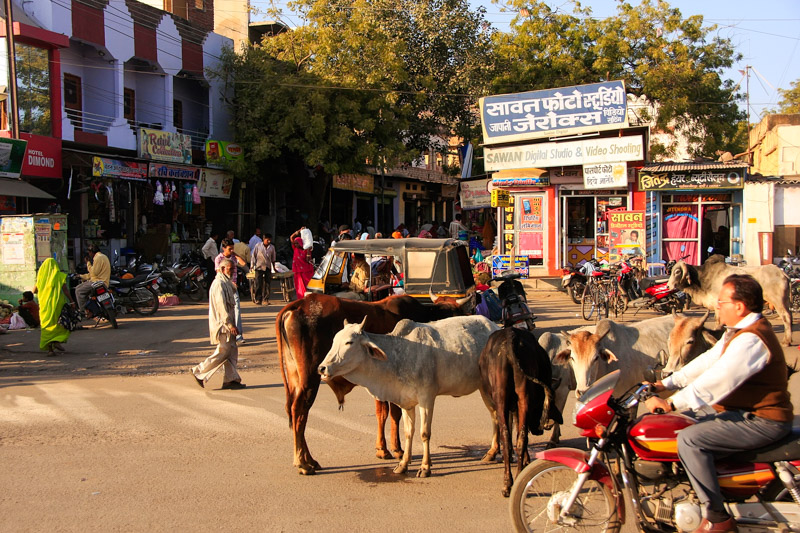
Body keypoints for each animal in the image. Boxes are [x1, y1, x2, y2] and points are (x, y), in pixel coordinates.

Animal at [276, 290, 466, 474]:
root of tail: (297, 305)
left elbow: (383, 413)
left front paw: (384, 448)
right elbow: (394, 414)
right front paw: (396, 450)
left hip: (295, 377)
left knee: (293, 411)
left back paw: (309, 460)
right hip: (309, 380)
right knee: (299, 412)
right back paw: (302, 463)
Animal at [318, 316, 500, 478]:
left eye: (349, 342)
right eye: (334, 341)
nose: (322, 368)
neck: (397, 356)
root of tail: (495, 326)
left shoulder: (427, 398)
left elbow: (424, 433)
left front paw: (425, 467)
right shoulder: (406, 402)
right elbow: (408, 432)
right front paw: (403, 464)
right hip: (483, 389)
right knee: (494, 415)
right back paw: (493, 452)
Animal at [478, 326, 560, 496]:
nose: (540, 430)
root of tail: (512, 339)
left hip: (502, 397)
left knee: (508, 436)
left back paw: (508, 482)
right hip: (521, 396)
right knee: (520, 437)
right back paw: (515, 478)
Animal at [664, 256, 792, 348]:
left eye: (677, 272)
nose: (668, 286)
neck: (702, 279)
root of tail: (783, 274)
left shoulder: (718, 306)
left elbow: (718, 322)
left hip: (778, 301)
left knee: (786, 317)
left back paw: (786, 341)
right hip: (784, 301)